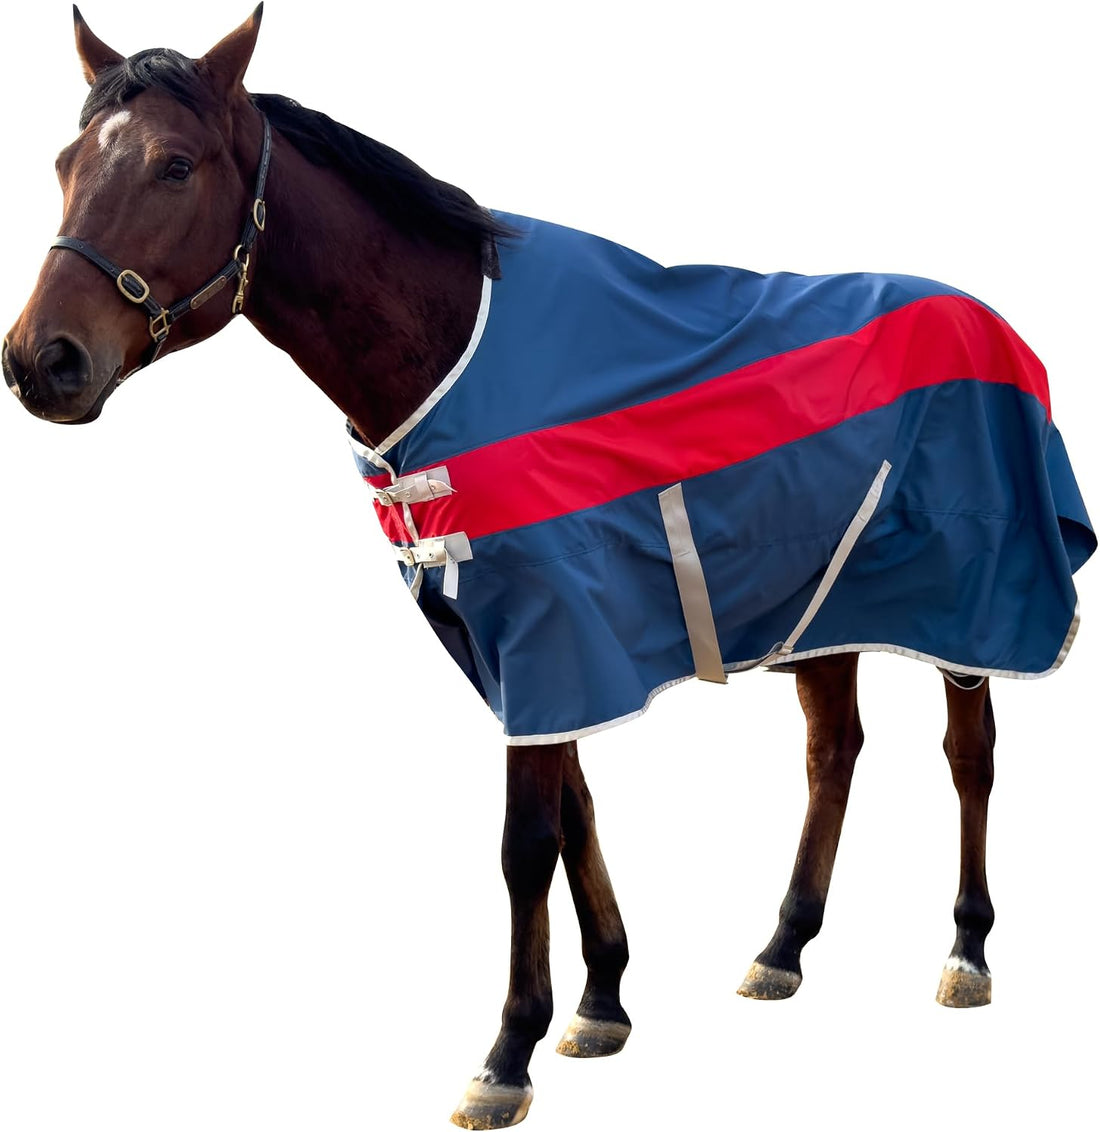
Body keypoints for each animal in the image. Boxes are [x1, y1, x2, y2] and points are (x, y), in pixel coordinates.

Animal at [2, 8, 1094, 1129]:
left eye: (175, 166)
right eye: (63, 164)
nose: (43, 361)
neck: (451, 348)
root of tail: (988, 319)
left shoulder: (552, 629)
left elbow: (524, 840)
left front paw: (508, 1052)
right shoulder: (512, 646)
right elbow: (576, 812)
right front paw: (603, 999)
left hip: (967, 599)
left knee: (970, 755)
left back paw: (966, 950)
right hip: (825, 608)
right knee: (832, 751)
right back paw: (781, 947)